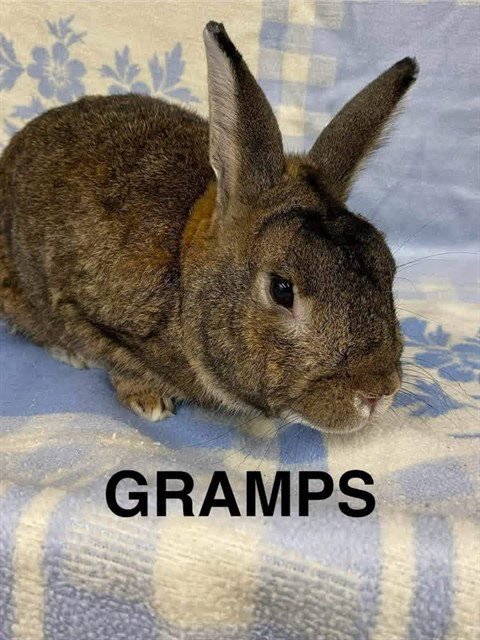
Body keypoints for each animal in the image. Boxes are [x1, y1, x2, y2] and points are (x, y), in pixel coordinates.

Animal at [0, 21, 418, 432]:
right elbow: (116, 359)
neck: (184, 276)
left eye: (388, 268)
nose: (377, 393)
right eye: (282, 290)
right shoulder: (85, 312)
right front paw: (149, 403)